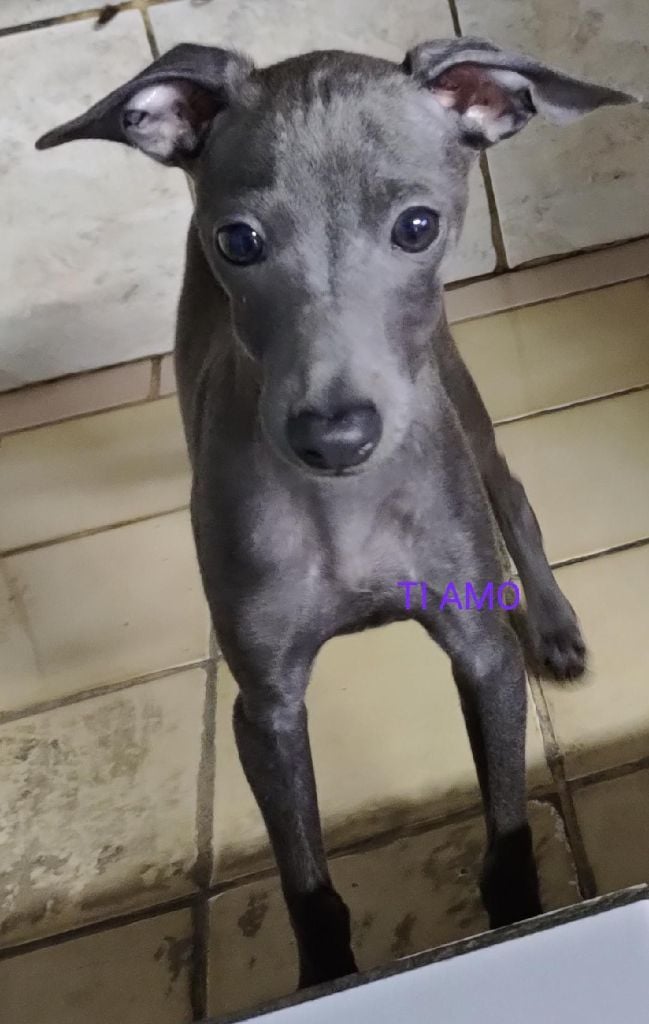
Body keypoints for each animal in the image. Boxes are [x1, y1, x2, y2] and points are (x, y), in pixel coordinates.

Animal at [37, 36, 636, 988]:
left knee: (511, 495)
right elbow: (307, 885)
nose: (334, 434)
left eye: (417, 226)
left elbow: (507, 832)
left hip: (460, 395)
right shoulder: (266, 710)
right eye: (237, 240)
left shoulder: (481, 659)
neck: (343, 509)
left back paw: (551, 623)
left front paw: (515, 914)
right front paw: (325, 969)